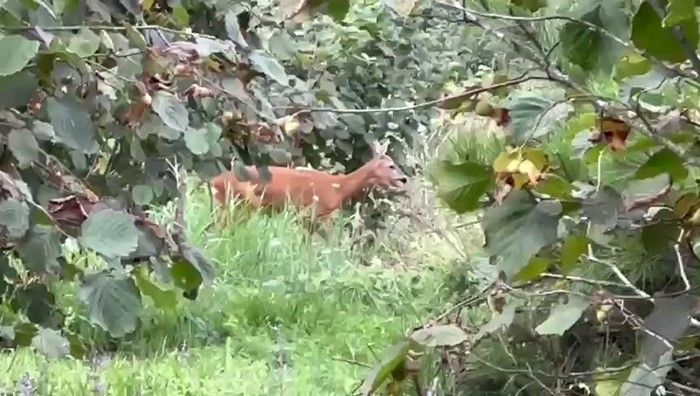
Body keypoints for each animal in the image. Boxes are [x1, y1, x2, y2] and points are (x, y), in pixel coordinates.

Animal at [211, 142, 412, 229]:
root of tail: (214, 181)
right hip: (239, 203)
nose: (404, 179)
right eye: (391, 165)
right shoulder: (315, 212)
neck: (339, 187)